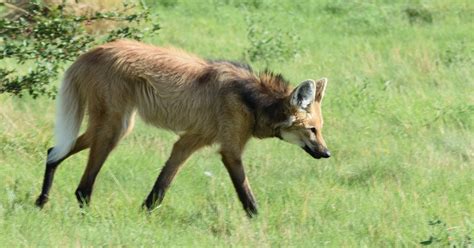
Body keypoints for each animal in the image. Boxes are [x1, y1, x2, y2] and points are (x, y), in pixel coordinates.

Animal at [34, 39, 330, 216]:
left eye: (320, 129)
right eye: (312, 130)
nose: (327, 153)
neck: (253, 101)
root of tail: (89, 53)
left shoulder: (189, 141)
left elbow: (162, 185)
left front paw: (145, 214)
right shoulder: (230, 151)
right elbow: (247, 195)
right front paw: (257, 220)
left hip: (115, 126)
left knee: (53, 151)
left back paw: (41, 201)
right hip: (113, 128)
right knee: (82, 185)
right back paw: (85, 214)